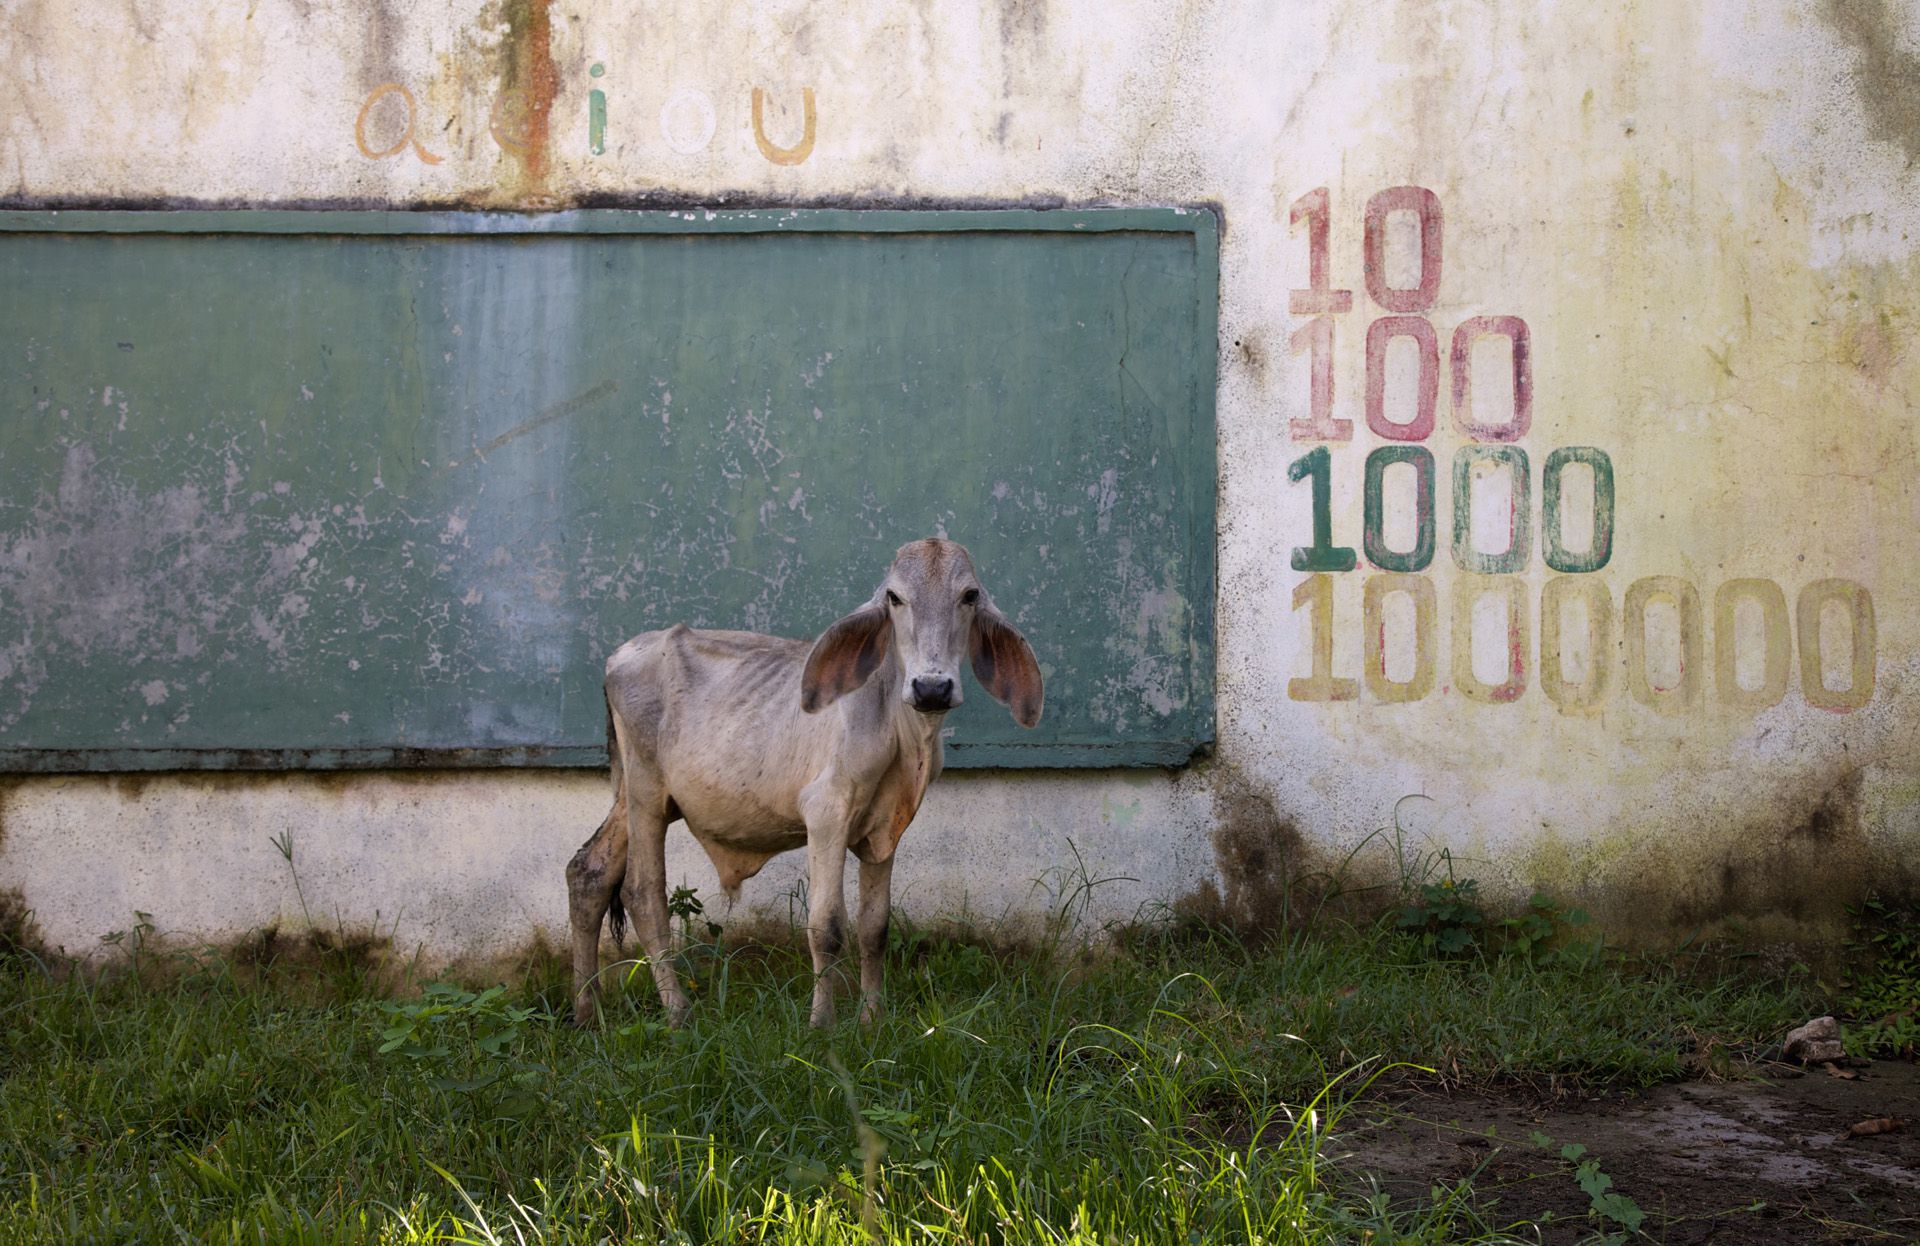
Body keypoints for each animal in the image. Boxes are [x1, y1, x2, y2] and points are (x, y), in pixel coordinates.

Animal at [566, 538, 1044, 1027]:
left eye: (969, 596)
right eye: (895, 597)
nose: (932, 687)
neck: (901, 731)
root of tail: (620, 655)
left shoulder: (884, 830)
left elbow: (875, 928)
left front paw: (872, 1019)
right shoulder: (826, 814)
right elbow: (826, 928)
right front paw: (822, 1023)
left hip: (637, 797)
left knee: (589, 871)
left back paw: (586, 1009)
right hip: (647, 792)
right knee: (642, 892)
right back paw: (677, 1012)